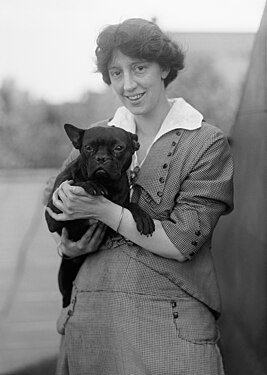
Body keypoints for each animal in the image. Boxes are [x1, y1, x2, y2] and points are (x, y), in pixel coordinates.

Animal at [45, 123, 155, 308]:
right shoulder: (53, 216)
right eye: (88, 148)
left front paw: (143, 217)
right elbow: (77, 182)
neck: (106, 183)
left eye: (119, 148)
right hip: (64, 276)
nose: (101, 158)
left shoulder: (120, 204)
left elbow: (130, 205)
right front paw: (91, 184)